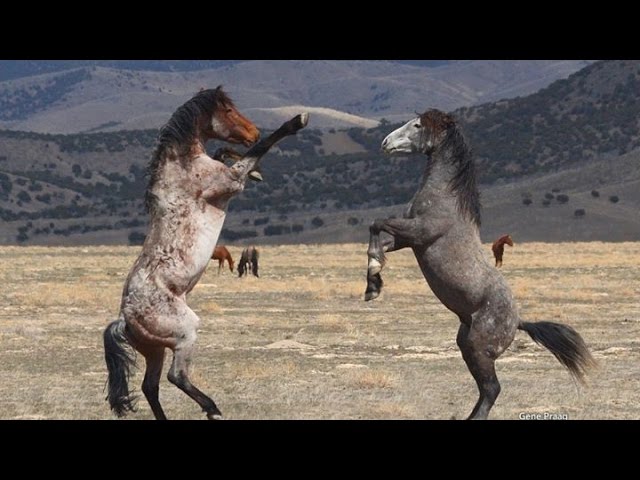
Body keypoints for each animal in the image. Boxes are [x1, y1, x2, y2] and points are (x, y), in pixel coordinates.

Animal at [103, 86, 308, 420]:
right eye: (227, 110)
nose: (253, 131)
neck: (183, 167)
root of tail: (125, 319)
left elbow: (230, 154)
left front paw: (255, 171)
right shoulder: (231, 183)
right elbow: (259, 150)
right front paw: (296, 121)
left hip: (155, 349)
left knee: (151, 386)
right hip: (185, 333)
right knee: (176, 376)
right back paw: (212, 408)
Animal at [365, 109, 595, 419]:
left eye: (417, 125)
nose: (386, 143)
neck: (445, 196)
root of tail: (517, 322)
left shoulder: (419, 233)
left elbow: (376, 222)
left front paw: (374, 276)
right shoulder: (409, 240)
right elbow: (379, 241)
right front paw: (373, 283)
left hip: (478, 350)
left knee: (492, 388)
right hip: (466, 345)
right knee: (486, 389)